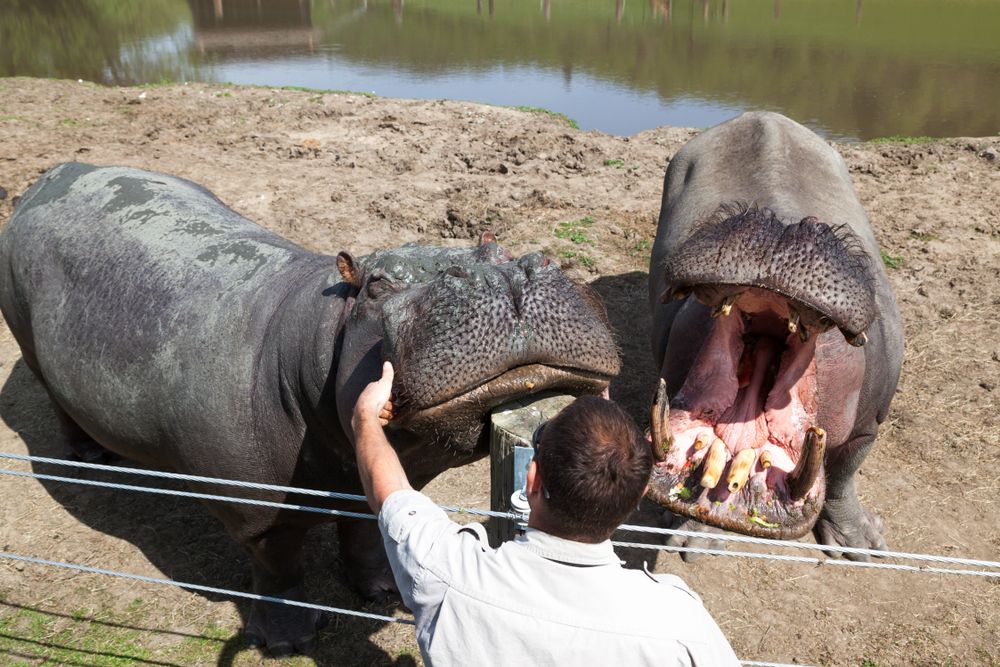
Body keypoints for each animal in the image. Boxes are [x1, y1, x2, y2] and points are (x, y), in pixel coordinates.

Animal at [0, 163, 620, 654]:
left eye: (496, 247)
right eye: (377, 283)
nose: (507, 272)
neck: (311, 339)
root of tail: (53, 174)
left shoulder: (375, 479)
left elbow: (370, 530)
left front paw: (382, 592)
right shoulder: (254, 509)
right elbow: (278, 568)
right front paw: (286, 642)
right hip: (30, 346)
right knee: (57, 402)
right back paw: (91, 458)